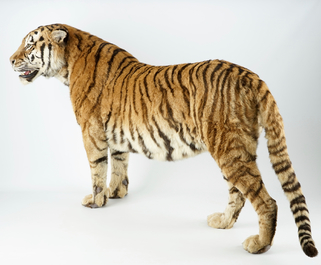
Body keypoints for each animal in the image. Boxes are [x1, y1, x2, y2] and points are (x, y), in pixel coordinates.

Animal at [10, 23, 318, 256]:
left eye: (30, 45)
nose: (10, 60)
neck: (68, 63)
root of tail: (252, 76)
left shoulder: (91, 131)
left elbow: (97, 169)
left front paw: (96, 201)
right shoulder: (116, 138)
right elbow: (119, 166)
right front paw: (116, 194)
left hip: (228, 148)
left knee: (266, 201)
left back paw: (259, 245)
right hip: (237, 148)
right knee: (238, 193)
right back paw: (222, 222)